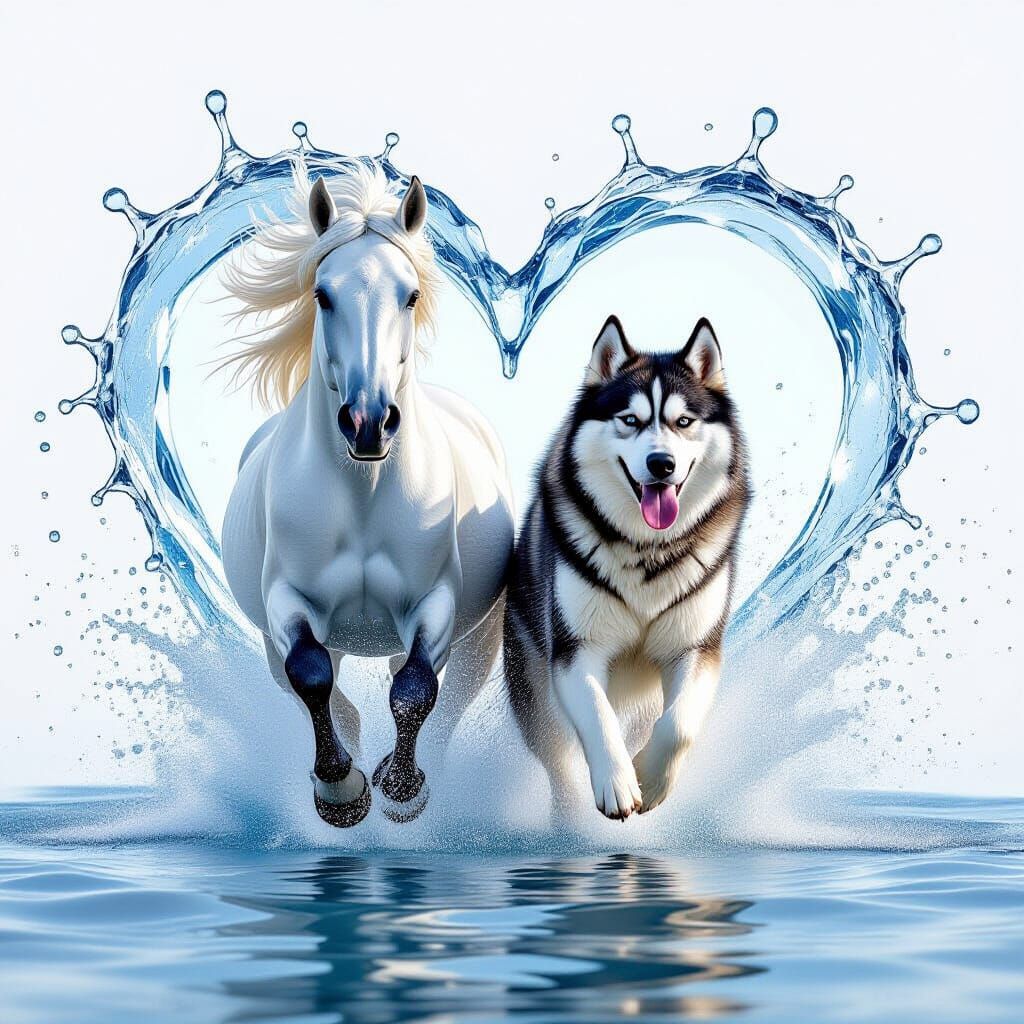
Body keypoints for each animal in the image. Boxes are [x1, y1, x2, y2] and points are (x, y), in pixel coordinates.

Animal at [219, 160, 515, 827]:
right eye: (322, 294)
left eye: (411, 294)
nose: (369, 422)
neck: (362, 497)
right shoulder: (287, 602)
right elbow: (310, 675)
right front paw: (342, 791)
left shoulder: (435, 601)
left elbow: (415, 690)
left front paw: (401, 789)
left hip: (478, 640)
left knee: (445, 701)